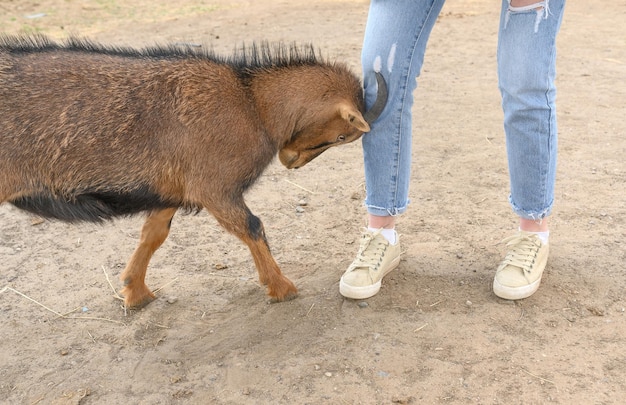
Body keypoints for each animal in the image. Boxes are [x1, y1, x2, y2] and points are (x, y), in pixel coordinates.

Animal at [0, 35, 386, 306]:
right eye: (342, 135)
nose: (290, 160)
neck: (251, 102)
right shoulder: (214, 187)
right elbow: (252, 227)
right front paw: (282, 288)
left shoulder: (171, 188)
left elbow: (154, 234)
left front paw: (135, 293)